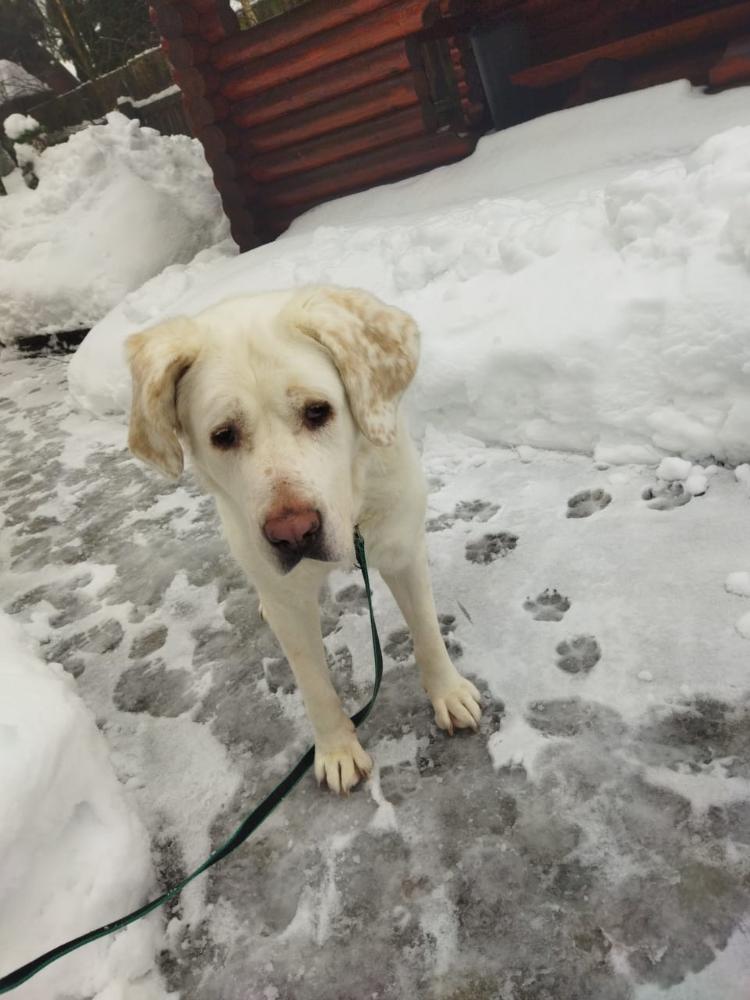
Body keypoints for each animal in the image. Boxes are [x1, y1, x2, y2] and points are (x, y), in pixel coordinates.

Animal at [126, 286, 482, 794]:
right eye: (223, 435)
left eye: (318, 411)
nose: (293, 533)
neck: (352, 512)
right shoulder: (289, 603)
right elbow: (314, 682)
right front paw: (337, 749)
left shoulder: (402, 549)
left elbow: (428, 633)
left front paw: (448, 693)